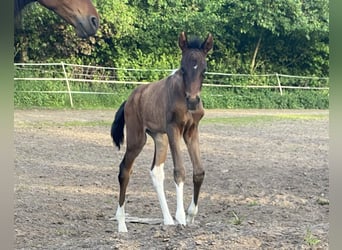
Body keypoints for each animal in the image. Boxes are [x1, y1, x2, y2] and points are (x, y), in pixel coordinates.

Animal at [111, 31, 214, 232]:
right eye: (183, 69)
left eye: (204, 70)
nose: (192, 100)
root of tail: (129, 100)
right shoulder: (174, 128)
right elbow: (179, 170)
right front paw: (181, 217)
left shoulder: (191, 130)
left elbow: (199, 171)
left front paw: (190, 215)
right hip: (137, 138)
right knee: (125, 169)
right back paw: (121, 224)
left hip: (160, 138)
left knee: (156, 171)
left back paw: (167, 220)